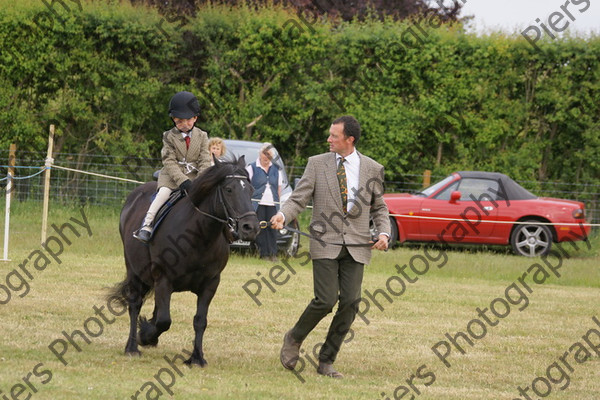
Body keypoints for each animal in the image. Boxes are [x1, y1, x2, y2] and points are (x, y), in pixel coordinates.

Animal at [111, 156, 258, 366]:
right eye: (229, 189)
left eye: (251, 190)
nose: (250, 227)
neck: (199, 235)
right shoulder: (164, 279)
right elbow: (164, 321)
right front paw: (145, 336)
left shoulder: (210, 283)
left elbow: (200, 320)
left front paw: (196, 358)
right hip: (134, 272)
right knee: (135, 305)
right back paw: (132, 347)